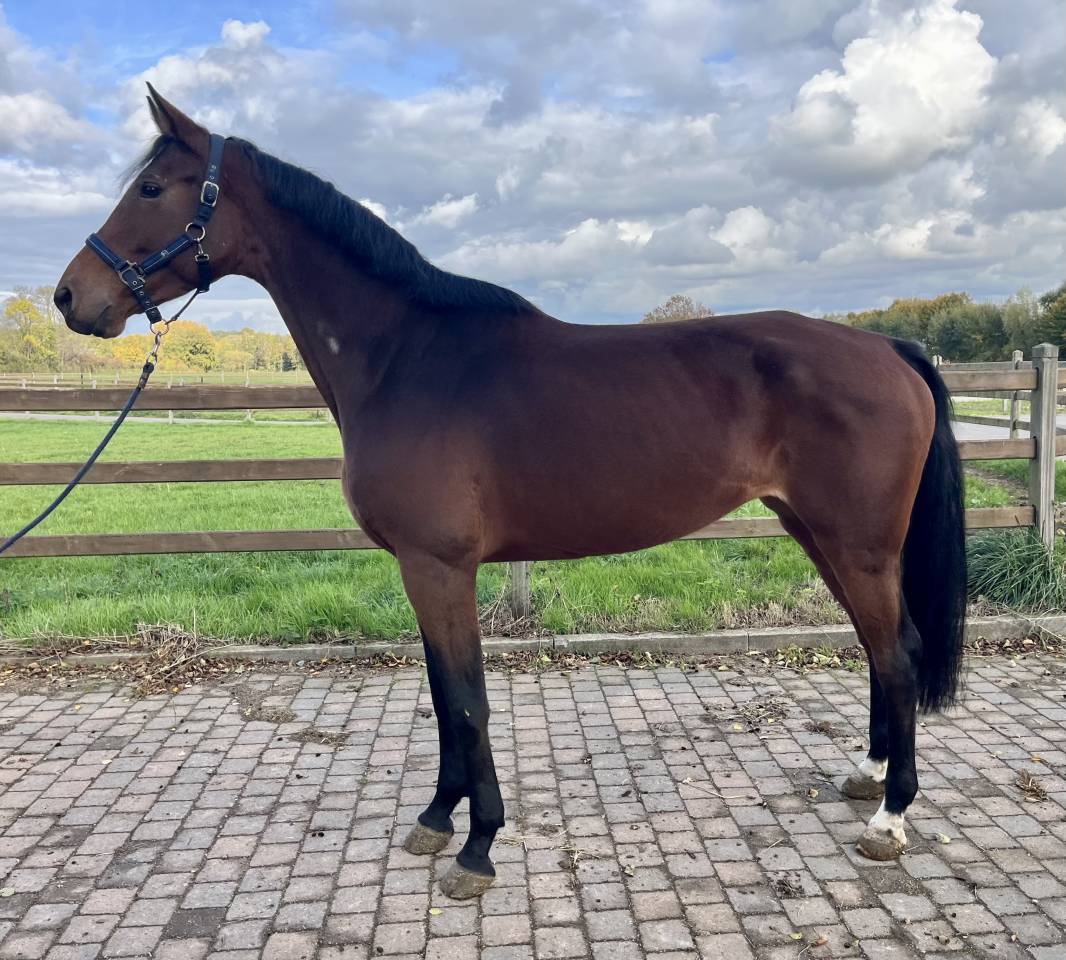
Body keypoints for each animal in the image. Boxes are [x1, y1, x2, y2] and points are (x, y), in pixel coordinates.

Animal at [54, 87, 966, 900]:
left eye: (151, 187)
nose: (70, 296)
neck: (405, 358)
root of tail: (887, 349)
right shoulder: (421, 571)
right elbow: (440, 698)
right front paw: (437, 818)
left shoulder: (440, 566)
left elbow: (467, 703)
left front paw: (478, 847)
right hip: (821, 534)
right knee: (878, 649)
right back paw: (868, 775)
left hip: (857, 543)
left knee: (899, 651)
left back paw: (890, 819)